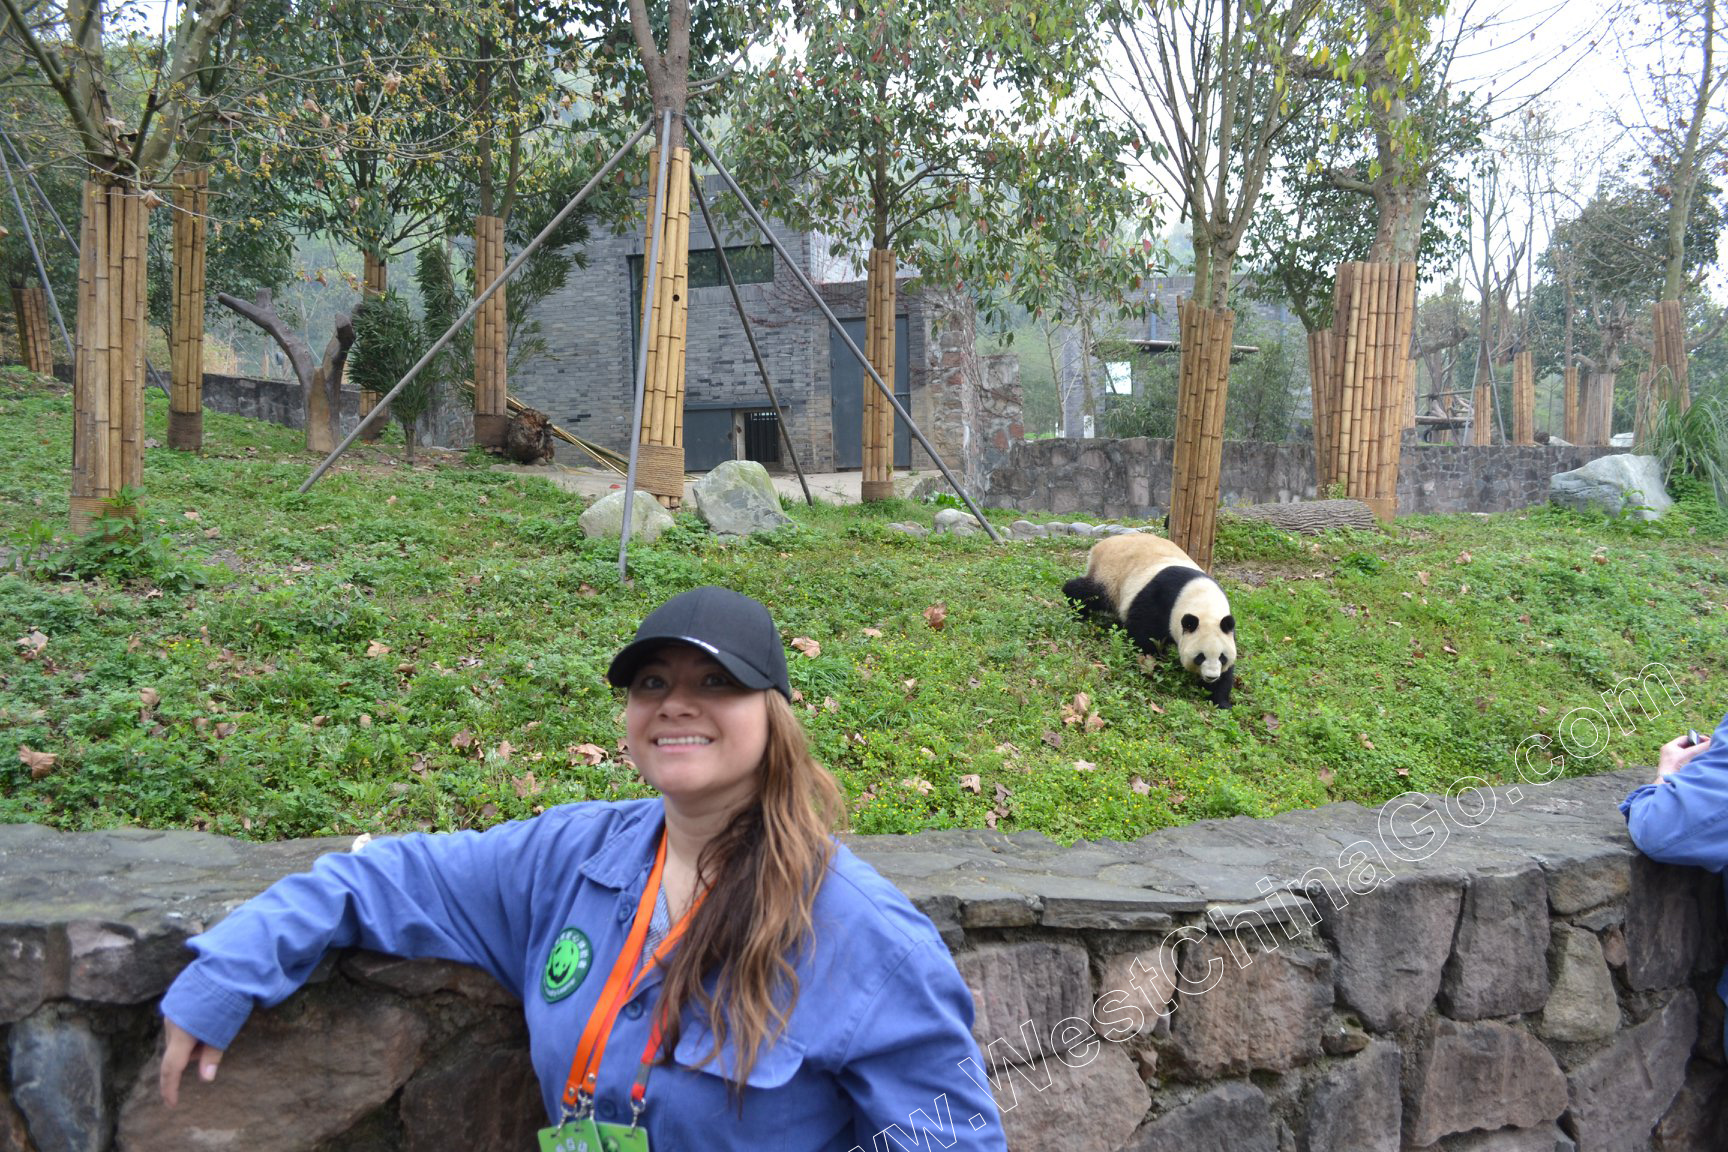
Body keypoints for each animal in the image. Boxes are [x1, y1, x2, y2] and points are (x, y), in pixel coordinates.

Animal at [1057, 535, 1237, 708]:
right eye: (1200, 656)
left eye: (1222, 657)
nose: (1211, 676)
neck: (1202, 602)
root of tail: (1101, 544)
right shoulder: (1160, 601)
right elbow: (1143, 636)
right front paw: (1151, 667)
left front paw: (1221, 701)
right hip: (1112, 574)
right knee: (1092, 593)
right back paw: (1076, 606)